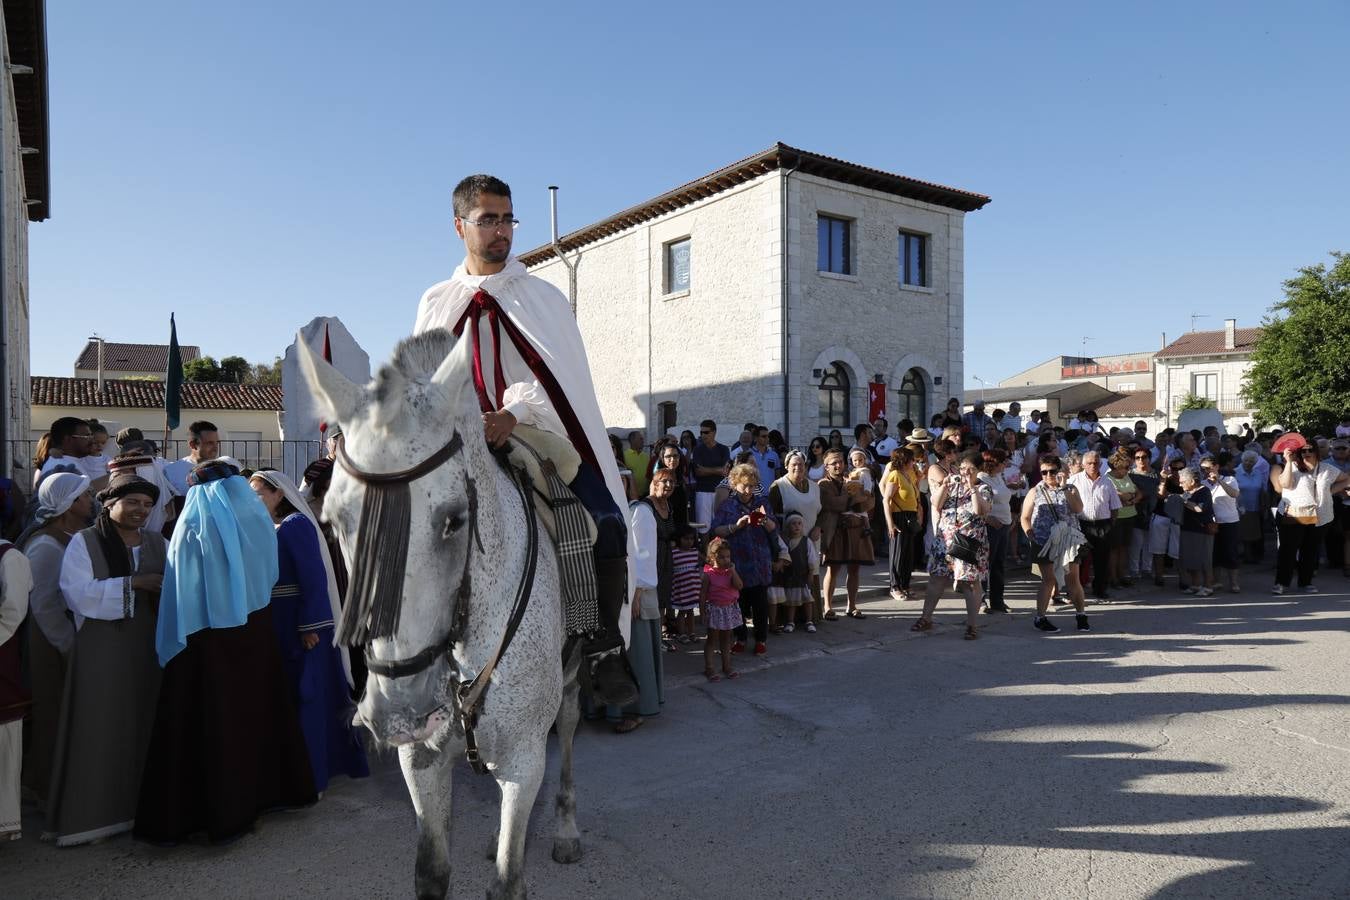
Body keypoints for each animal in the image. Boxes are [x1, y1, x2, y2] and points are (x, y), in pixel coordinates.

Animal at [299, 330, 580, 900]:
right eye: (334, 521)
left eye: (454, 520)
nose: (399, 710)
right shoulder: (421, 760)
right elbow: (432, 870)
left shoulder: (524, 760)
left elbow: (508, 879)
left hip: (572, 682)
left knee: (566, 733)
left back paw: (565, 829)